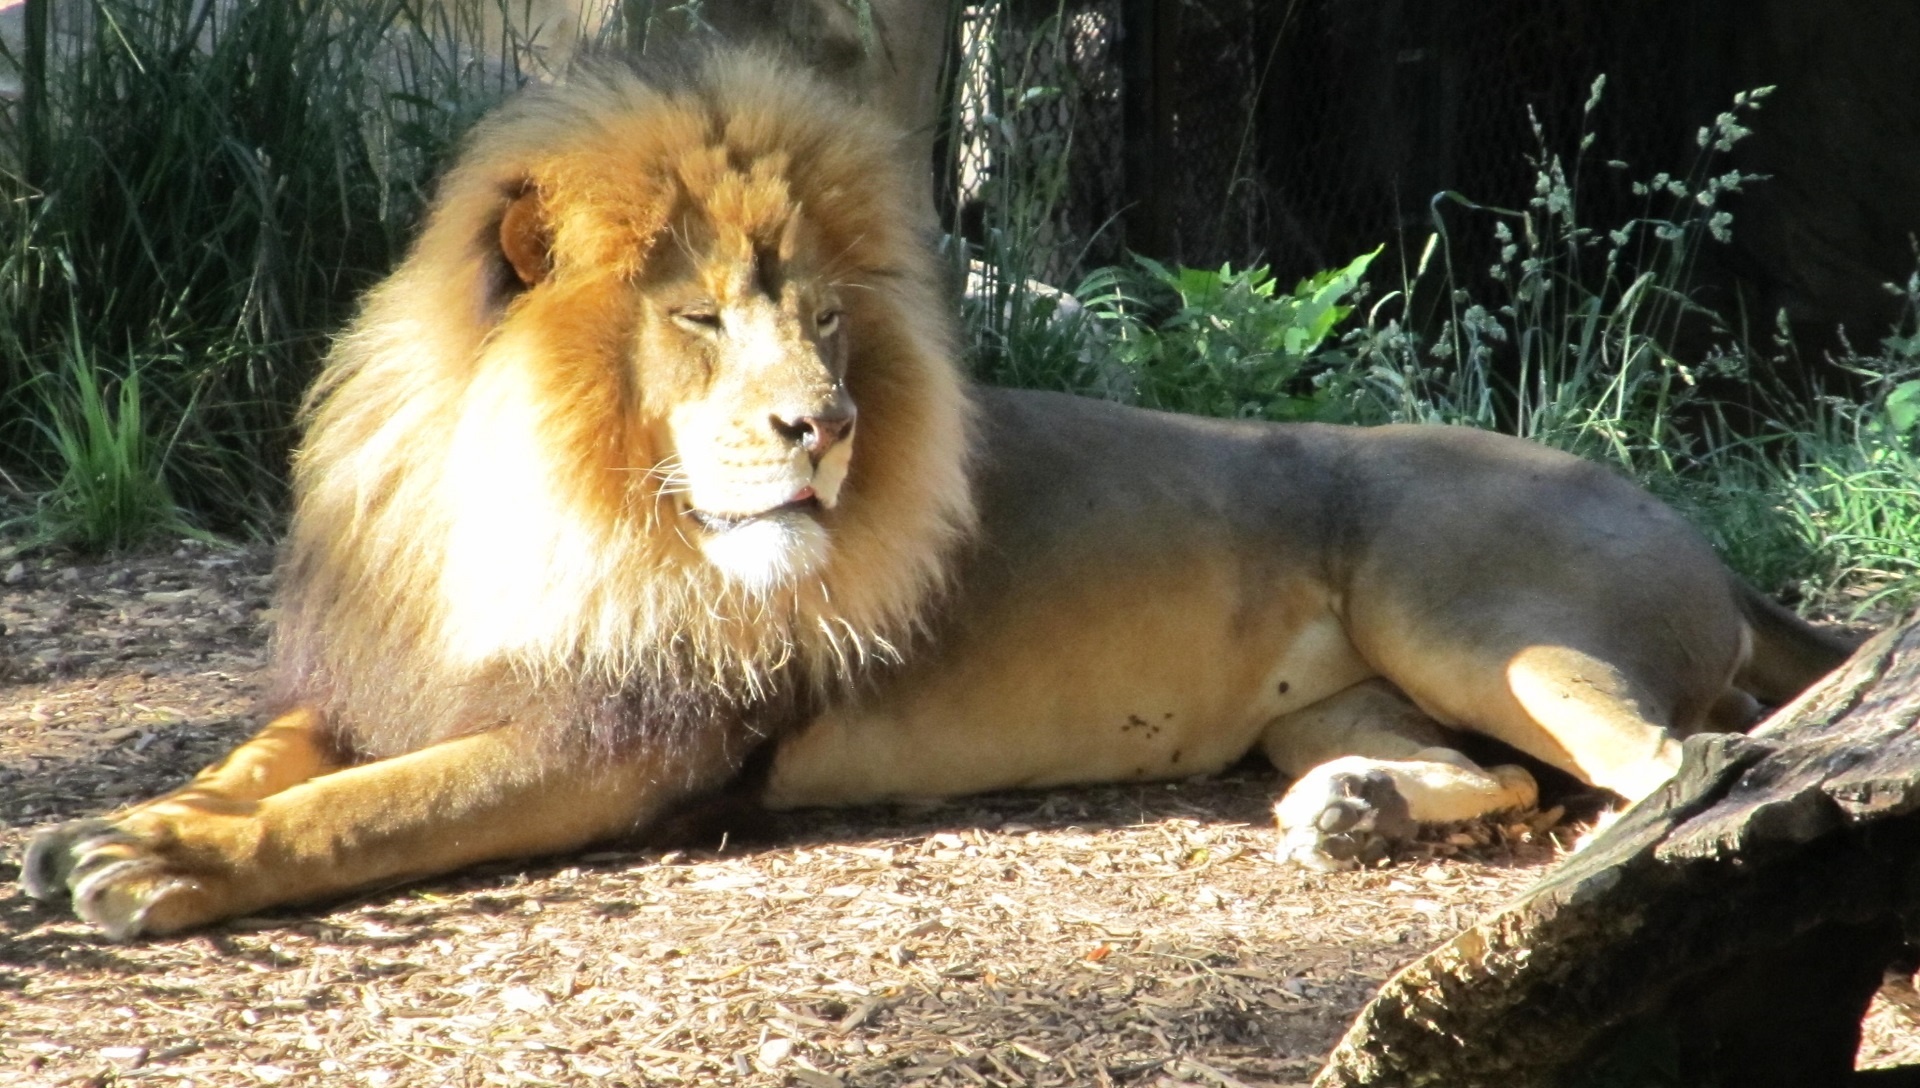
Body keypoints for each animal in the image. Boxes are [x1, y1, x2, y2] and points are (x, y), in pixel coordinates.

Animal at [18, 51, 1858, 940]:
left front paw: (161, 863)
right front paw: (105, 824)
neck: (517, 495)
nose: (824, 425)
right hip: (1343, 693)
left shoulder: (634, 740)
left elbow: (365, 808)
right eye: (700, 318)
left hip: (1467, 611)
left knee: (1681, 758)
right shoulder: (384, 674)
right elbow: (272, 758)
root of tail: (1700, 540)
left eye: (828, 320)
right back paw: (1356, 810)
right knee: (1503, 772)